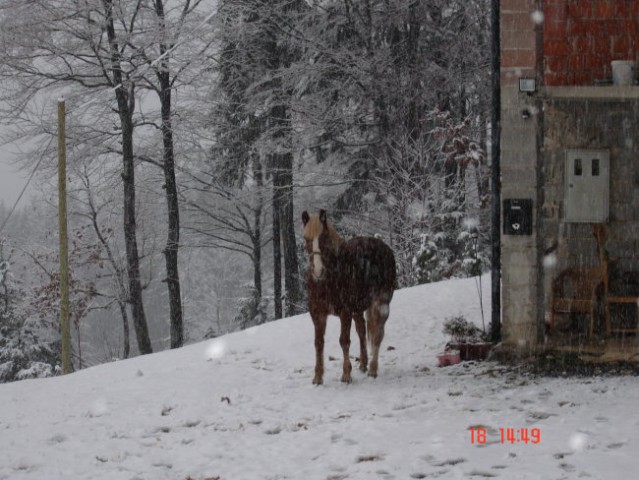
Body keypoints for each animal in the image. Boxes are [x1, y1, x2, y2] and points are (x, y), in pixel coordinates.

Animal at [300, 210, 396, 386]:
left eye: (324, 237)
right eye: (306, 238)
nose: (318, 270)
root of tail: (383, 246)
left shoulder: (344, 313)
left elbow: (344, 341)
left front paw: (346, 374)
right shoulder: (317, 314)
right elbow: (318, 343)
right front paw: (318, 377)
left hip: (381, 303)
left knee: (378, 334)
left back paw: (372, 369)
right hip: (358, 309)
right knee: (362, 330)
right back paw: (364, 364)